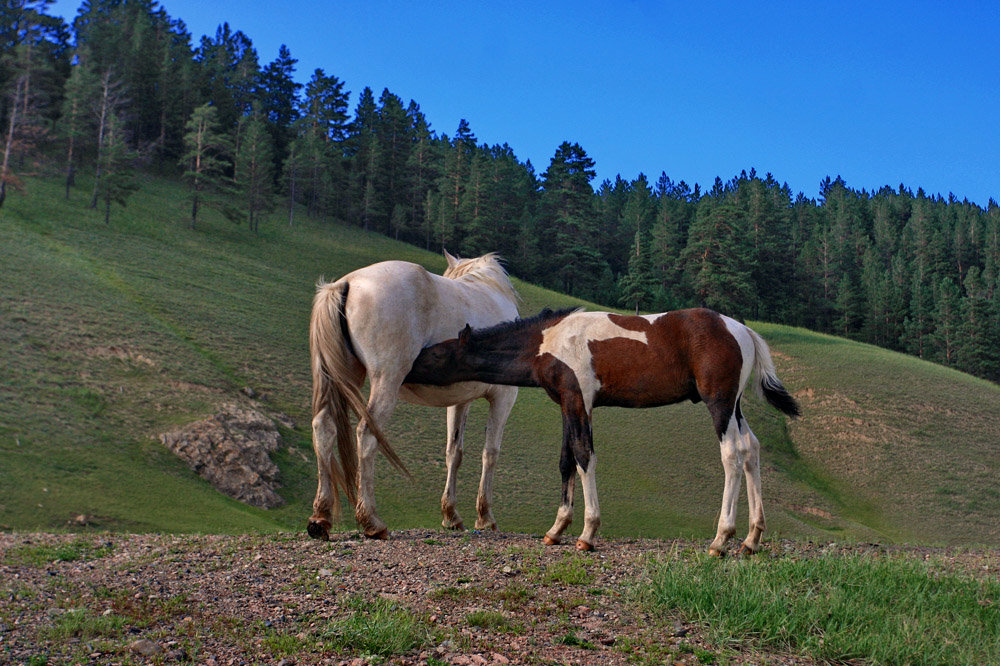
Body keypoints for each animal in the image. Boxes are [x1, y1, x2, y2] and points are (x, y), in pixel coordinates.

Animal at [308, 252, 520, 536]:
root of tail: (347, 283)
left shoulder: (459, 400)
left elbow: (454, 452)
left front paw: (451, 515)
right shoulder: (503, 397)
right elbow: (491, 452)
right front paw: (485, 517)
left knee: (324, 429)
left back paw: (320, 518)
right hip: (386, 382)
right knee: (366, 434)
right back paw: (372, 521)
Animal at [402, 308, 800, 556]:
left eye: (435, 354)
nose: (406, 369)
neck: (551, 341)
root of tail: (743, 330)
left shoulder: (579, 399)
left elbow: (584, 457)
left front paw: (587, 533)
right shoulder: (568, 403)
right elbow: (566, 461)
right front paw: (556, 530)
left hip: (719, 403)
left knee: (732, 454)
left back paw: (721, 540)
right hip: (735, 406)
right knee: (752, 449)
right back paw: (751, 539)